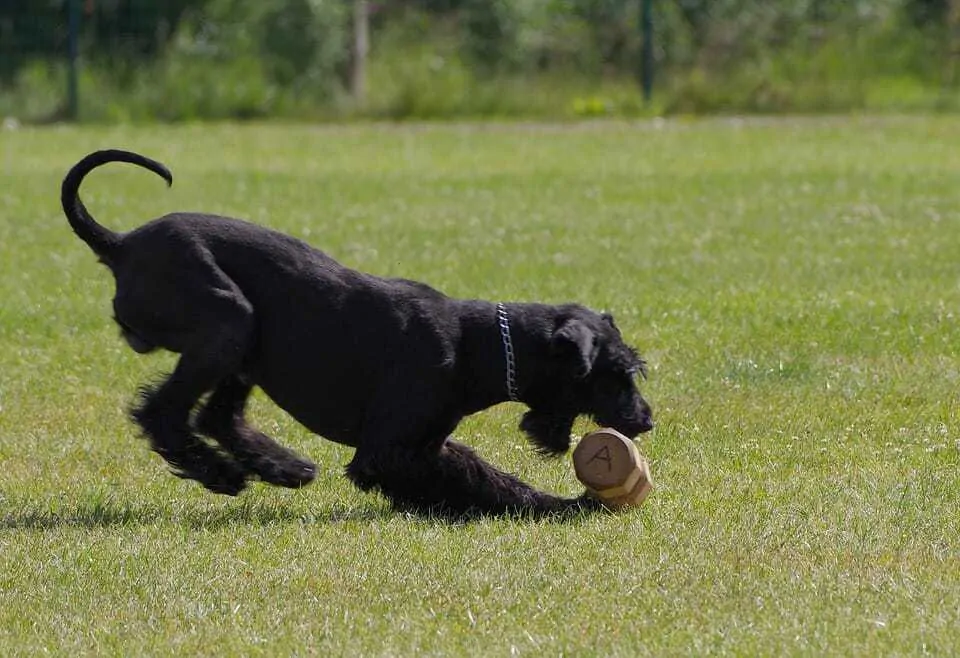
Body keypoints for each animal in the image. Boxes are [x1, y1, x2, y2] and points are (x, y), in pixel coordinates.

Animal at [60, 151, 652, 516]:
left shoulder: (426, 441)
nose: (645, 420)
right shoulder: (388, 452)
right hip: (228, 322)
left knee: (216, 416)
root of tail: (121, 244)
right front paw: (561, 507)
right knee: (162, 411)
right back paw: (221, 473)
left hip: (243, 346)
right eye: (617, 374)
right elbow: (475, 481)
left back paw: (282, 466)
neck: (477, 346)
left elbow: (479, 472)